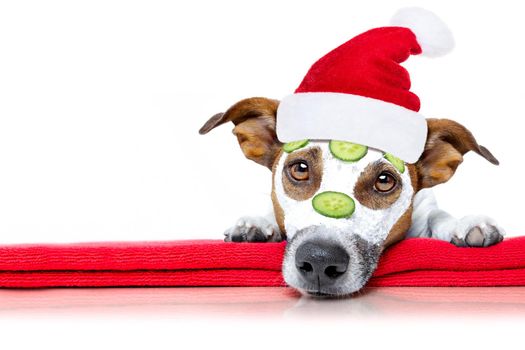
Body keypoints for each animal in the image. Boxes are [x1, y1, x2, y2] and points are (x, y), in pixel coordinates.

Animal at [198, 97, 504, 296]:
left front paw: (464, 224)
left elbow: (438, 215)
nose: (320, 261)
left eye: (384, 181)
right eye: (299, 169)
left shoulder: (423, 207)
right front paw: (257, 225)